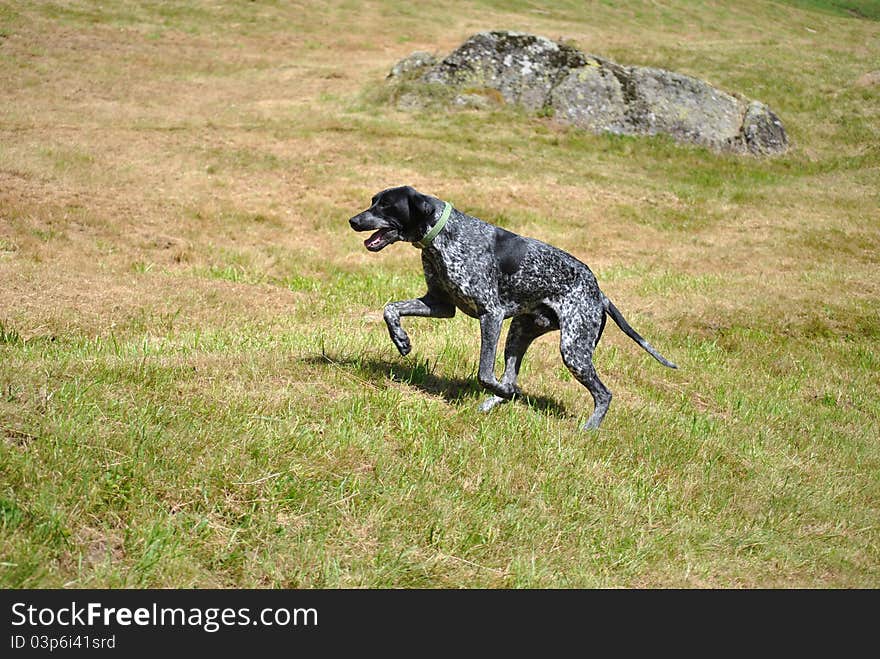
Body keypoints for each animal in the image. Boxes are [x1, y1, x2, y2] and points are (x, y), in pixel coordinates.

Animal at [348, 187, 676, 434]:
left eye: (386, 205)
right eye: (373, 200)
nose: (352, 220)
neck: (444, 235)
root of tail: (600, 294)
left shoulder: (490, 315)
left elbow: (483, 373)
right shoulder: (439, 304)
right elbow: (390, 309)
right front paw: (400, 339)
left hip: (574, 349)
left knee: (603, 394)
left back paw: (588, 429)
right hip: (519, 333)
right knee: (510, 379)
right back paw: (493, 402)